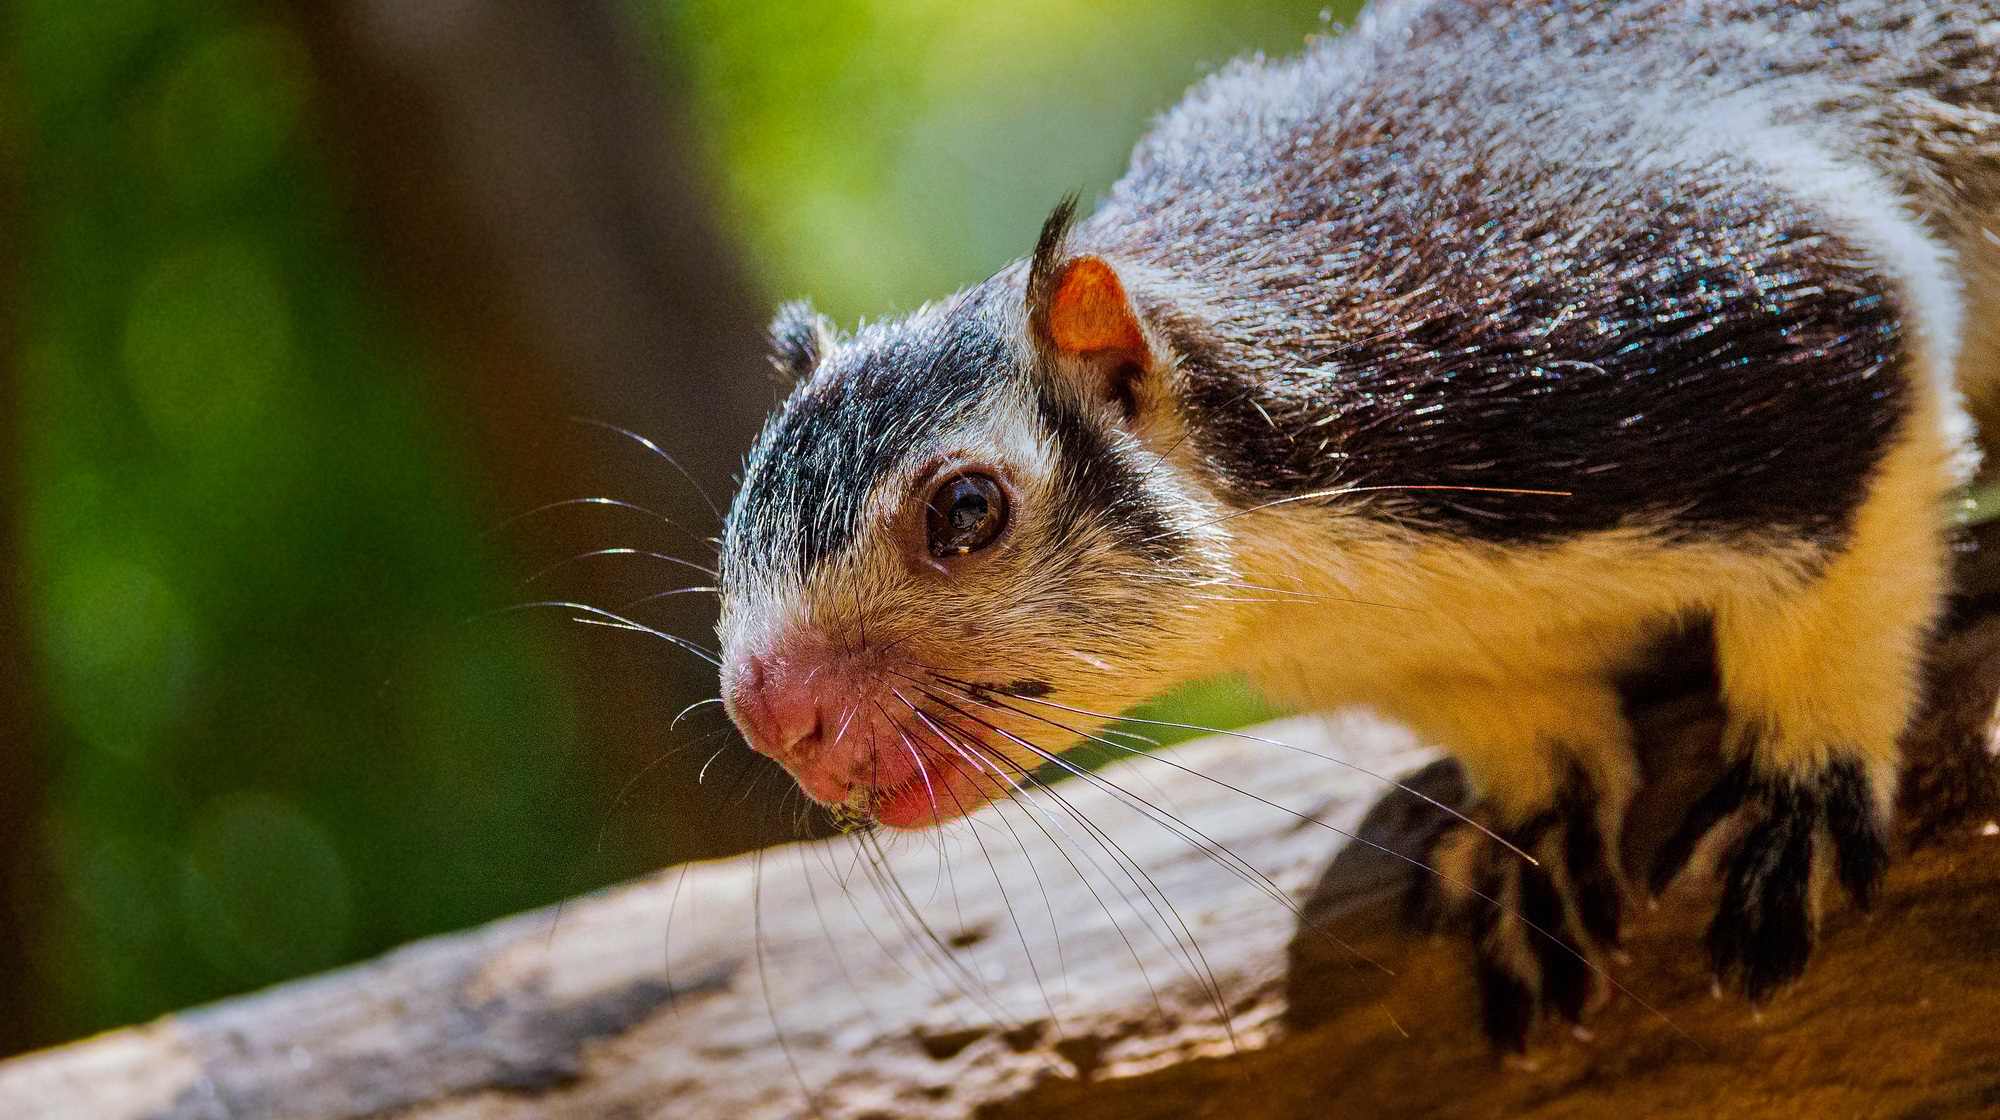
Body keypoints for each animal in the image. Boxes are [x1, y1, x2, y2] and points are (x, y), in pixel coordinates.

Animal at [713, 0, 2000, 1054]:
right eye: (733, 522)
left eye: (966, 510)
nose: (771, 715)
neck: (1319, 585)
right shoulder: (1417, 658)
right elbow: (1519, 723)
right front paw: (1531, 834)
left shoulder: (1714, 329)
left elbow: (1833, 581)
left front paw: (1796, 798)